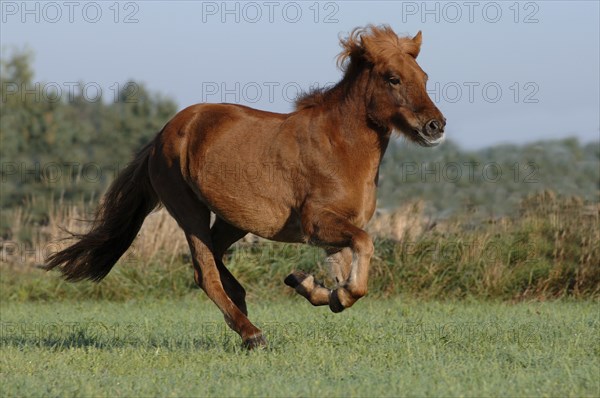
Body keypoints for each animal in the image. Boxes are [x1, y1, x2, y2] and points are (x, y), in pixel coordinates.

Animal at [44, 25, 442, 348]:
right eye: (392, 78)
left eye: (423, 76)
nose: (436, 126)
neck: (339, 146)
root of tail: (162, 136)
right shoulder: (317, 222)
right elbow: (362, 255)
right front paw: (323, 290)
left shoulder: (336, 231)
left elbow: (347, 276)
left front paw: (310, 285)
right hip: (189, 211)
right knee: (204, 272)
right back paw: (252, 335)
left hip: (233, 220)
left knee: (219, 262)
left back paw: (247, 310)